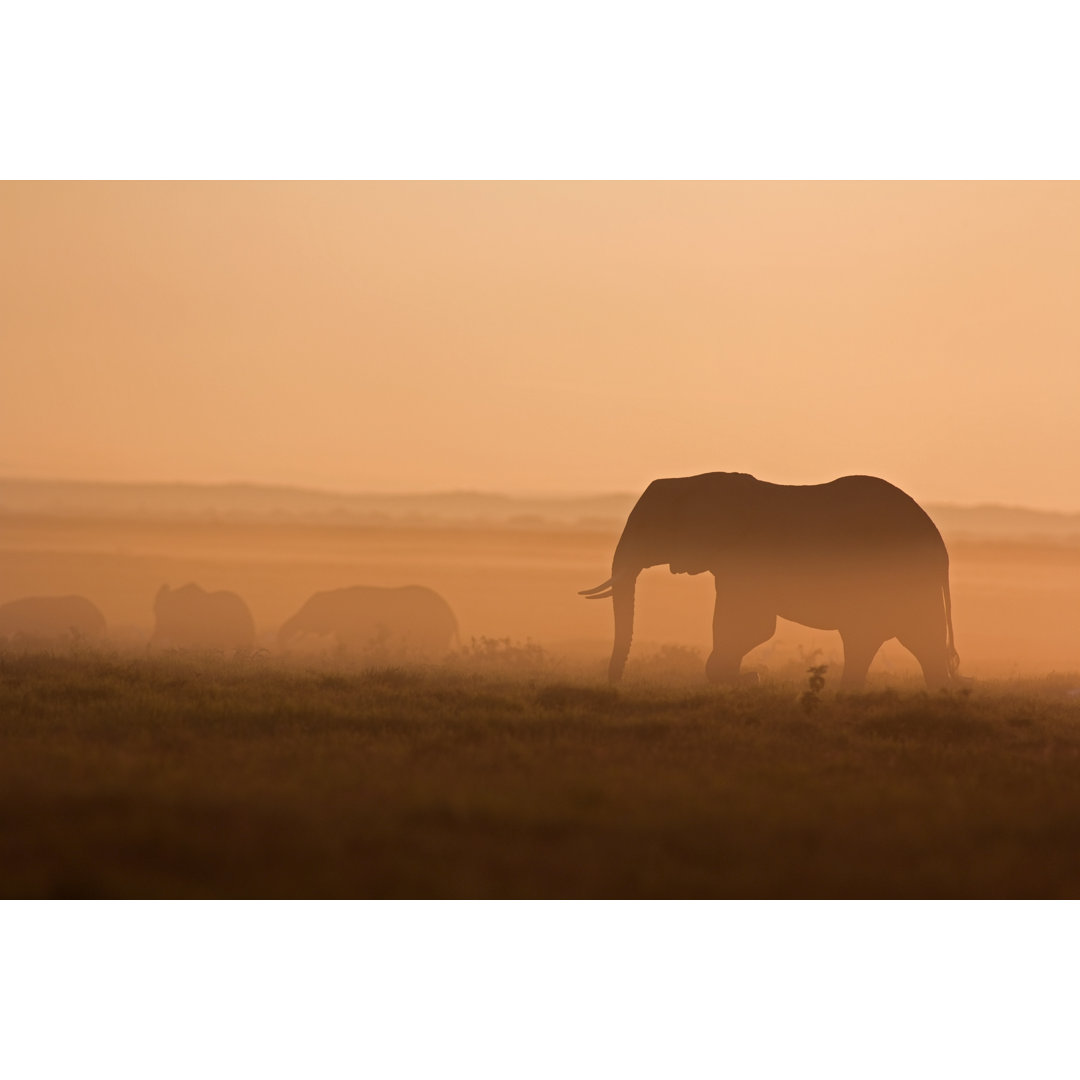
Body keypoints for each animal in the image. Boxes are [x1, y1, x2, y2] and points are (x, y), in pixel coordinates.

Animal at [583, 475, 963, 691]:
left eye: (647, 526)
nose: (615, 685)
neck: (695, 480)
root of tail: (941, 546)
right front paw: (750, 677)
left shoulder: (746, 560)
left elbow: (751, 626)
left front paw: (753, 677)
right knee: (903, 640)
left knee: (886, 637)